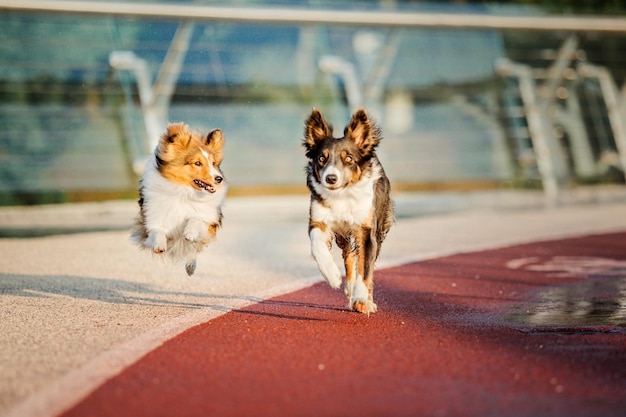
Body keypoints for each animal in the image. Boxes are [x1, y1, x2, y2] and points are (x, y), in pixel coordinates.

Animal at [130, 122, 225, 274]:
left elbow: (196, 218)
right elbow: (157, 230)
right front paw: (159, 245)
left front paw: (189, 232)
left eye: (213, 163)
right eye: (197, 163)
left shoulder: (209, 225)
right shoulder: (150, 223)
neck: (183, 192)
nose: (219, 179)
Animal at [302, 107, 390, 312]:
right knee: (349, 257)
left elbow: (365, 268)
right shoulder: (319, 220)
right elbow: (317, 245)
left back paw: (365, 300)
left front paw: (362, 298)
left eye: (349, 158)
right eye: (321, 158)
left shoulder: (366, 230)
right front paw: (332, 275)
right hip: (343, 236)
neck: (341, 195)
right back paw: (349, 288)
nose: (330, 178)